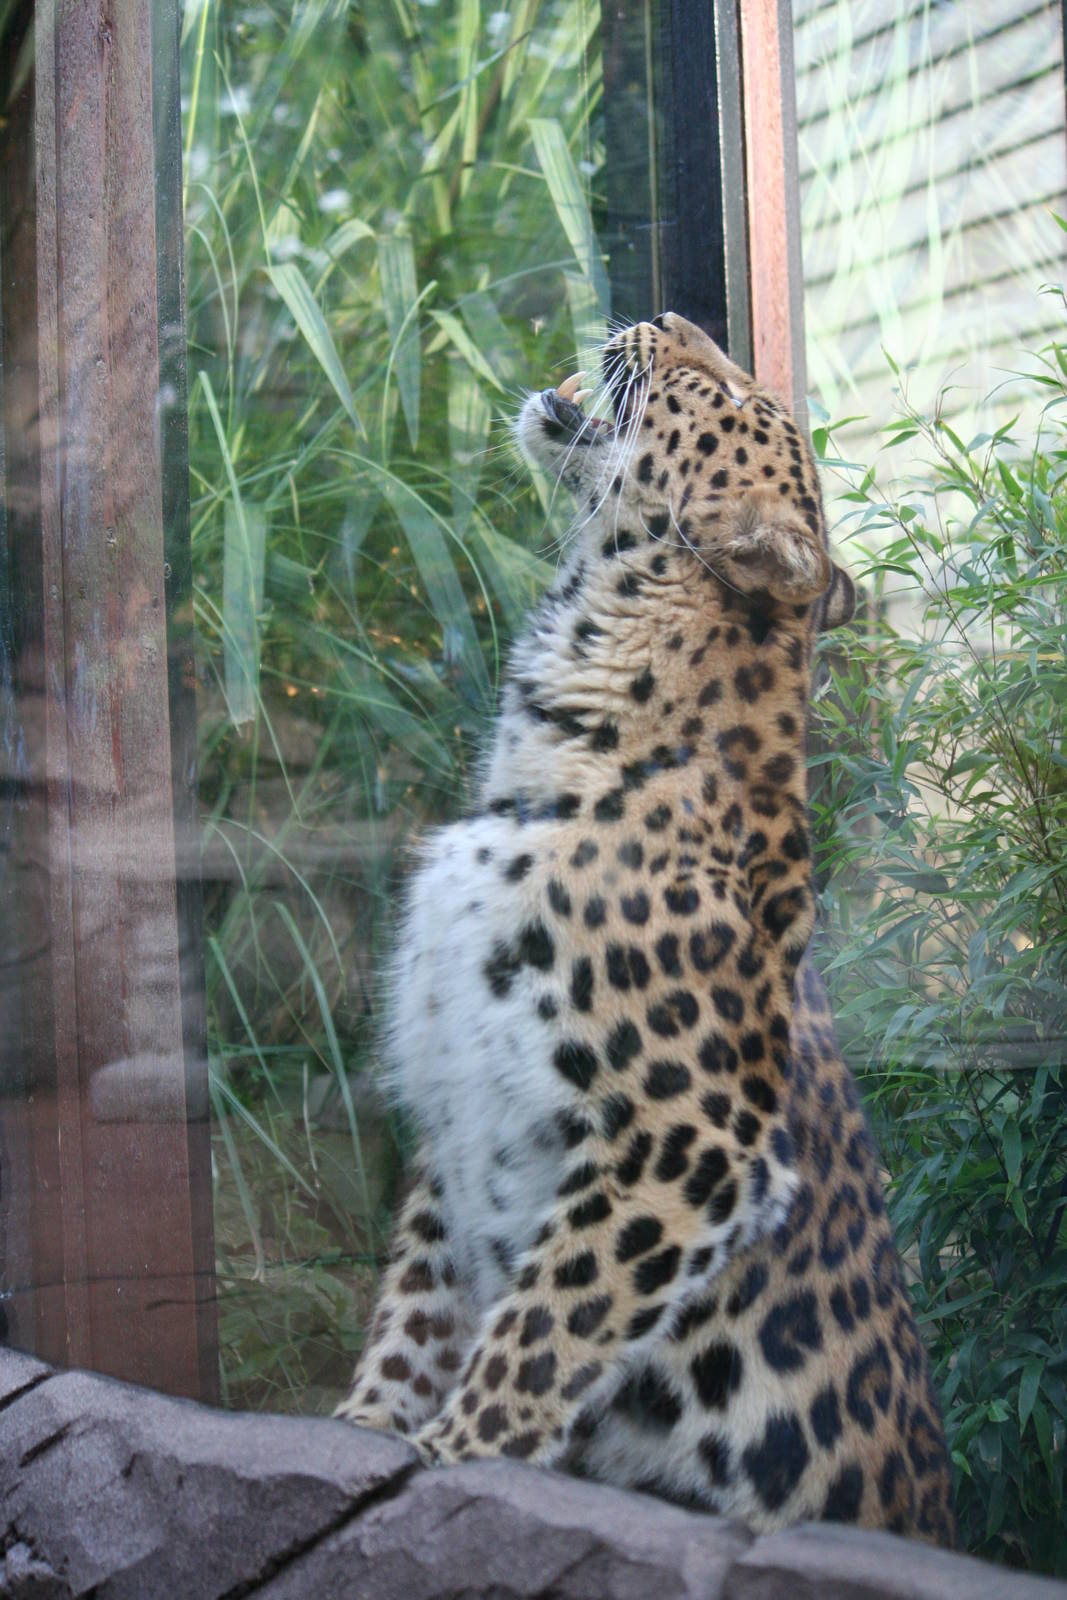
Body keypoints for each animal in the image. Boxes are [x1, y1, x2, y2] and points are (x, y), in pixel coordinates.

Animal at [336, 311, 955, 1544]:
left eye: (723, 387)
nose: (671, 320)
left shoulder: (685, 1135)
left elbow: (546, 1320)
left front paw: (456, 1454)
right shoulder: (450, 1095)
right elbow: (418, 1296)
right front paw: (366, 1428)